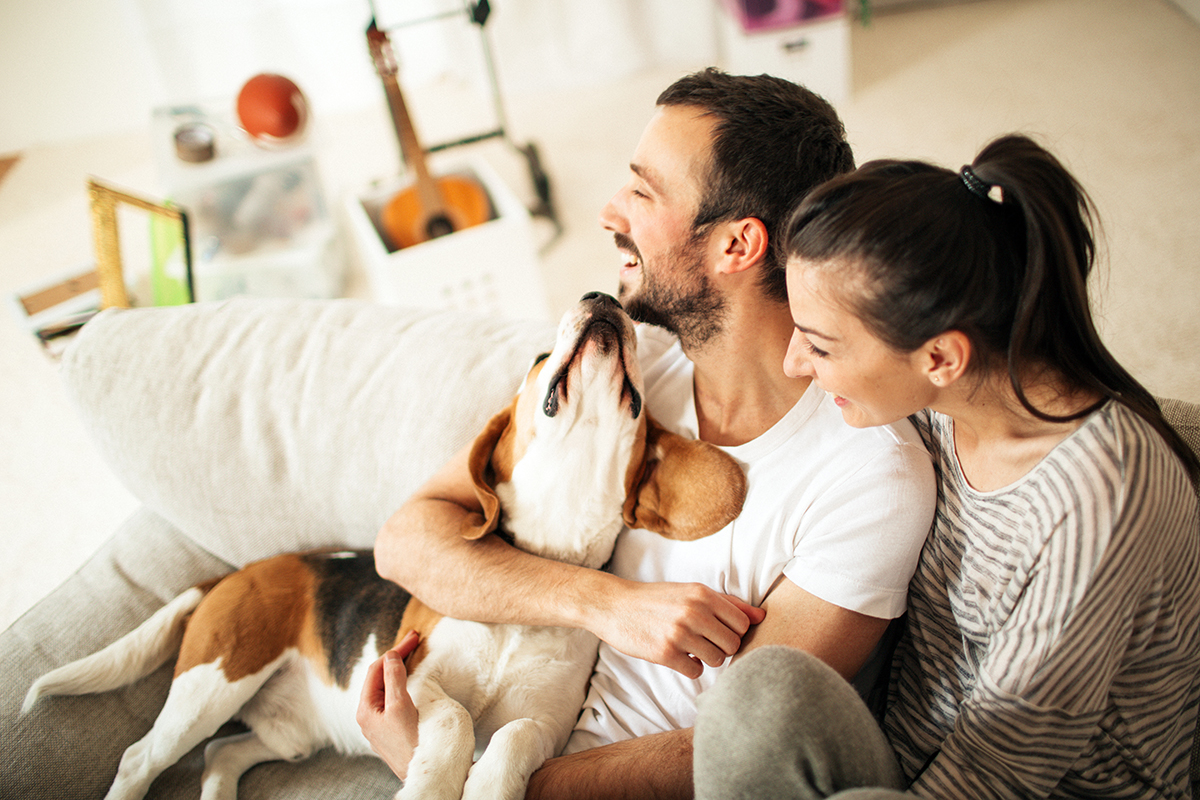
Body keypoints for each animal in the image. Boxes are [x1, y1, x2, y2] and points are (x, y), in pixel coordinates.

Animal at [23, 289, 744, 800]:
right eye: (540, 360)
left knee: (220, 753)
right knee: (140, 758)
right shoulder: (413, 675)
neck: (536, 576)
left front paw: (488, 787)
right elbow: (454, 722)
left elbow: (510, 736)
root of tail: (243, 572)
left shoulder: (547, 724)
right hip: (213, 682)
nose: (602, 296)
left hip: (285, 733)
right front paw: (432, 784)